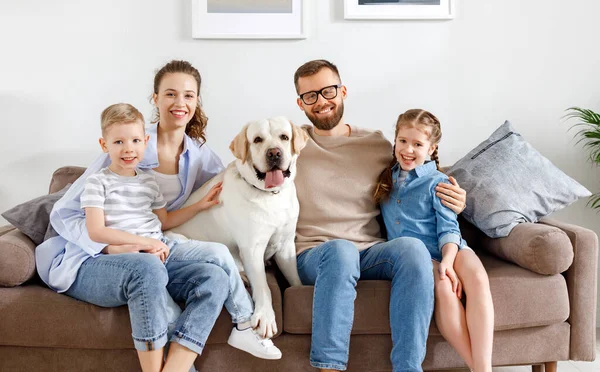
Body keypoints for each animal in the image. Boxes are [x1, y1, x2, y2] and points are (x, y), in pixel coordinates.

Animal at [169, 117, 310, 338]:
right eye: (258, 139)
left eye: (284, 137)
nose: (274, 153)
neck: (270, 196)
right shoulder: (252, 249)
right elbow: (263, 286)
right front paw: (266, 316)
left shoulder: (286, 245)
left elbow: (294, 277)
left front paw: (298, 289)